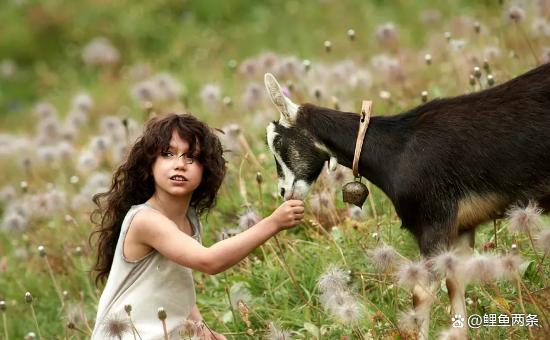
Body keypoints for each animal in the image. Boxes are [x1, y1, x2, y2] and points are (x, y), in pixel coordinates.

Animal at [264, 63, 550, 338]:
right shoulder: (459, 230)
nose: (284, 192)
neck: (398, 150)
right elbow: (455, 290)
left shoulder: (434, 222)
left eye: (278, 143)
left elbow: (420, 294)